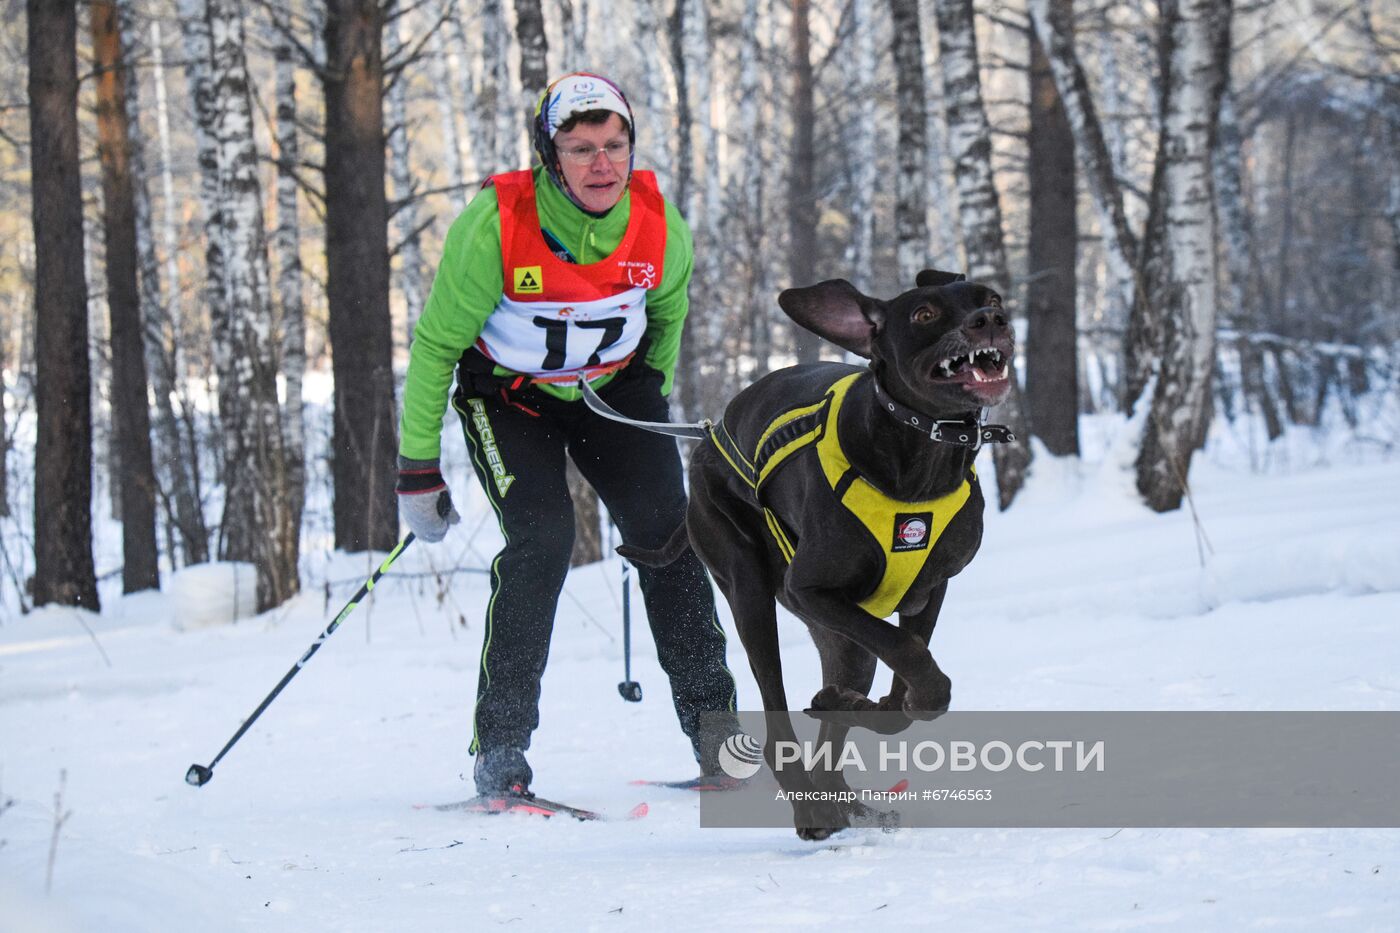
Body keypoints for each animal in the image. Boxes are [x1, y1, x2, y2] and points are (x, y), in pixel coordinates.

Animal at [618, 268, 1013, 834]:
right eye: (925, 314)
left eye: (992, 297)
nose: (991, 321)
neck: (920, 459)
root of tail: (707, 439)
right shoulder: (811, 589)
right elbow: (913, 659)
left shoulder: (928, 589)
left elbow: (907, 694)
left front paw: (851, 704)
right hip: (749, 588)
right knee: (776, 724)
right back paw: (810, 806)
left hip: (840, 636)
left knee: (841, 697)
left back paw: (840, 791)